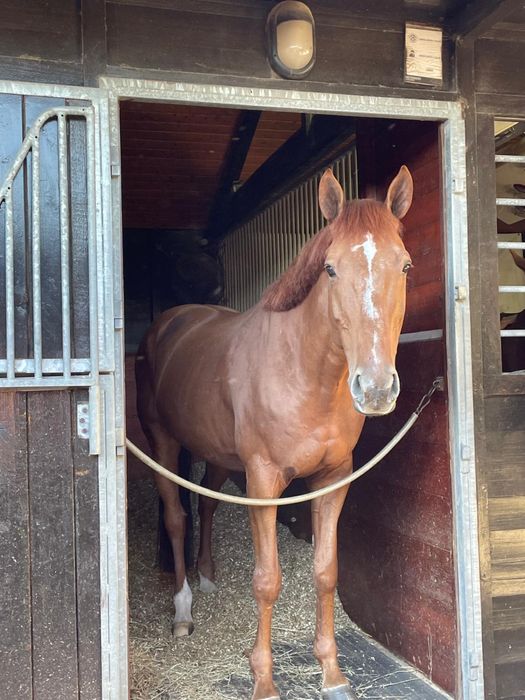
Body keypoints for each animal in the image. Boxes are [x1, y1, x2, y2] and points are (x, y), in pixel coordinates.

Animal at [135, 165, 414, 700]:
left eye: (406, 266)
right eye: (330, 269)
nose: (374, 388)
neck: (305, 373)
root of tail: (171, 322)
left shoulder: (334, 479)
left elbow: (325, 572)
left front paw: (332, 673)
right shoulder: (264, 482)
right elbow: (267, 580)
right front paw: (263, 680)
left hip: (218, 454)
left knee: (207, 505)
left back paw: (207, 579)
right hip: (163, 443)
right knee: (177, 517)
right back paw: (183, 610)